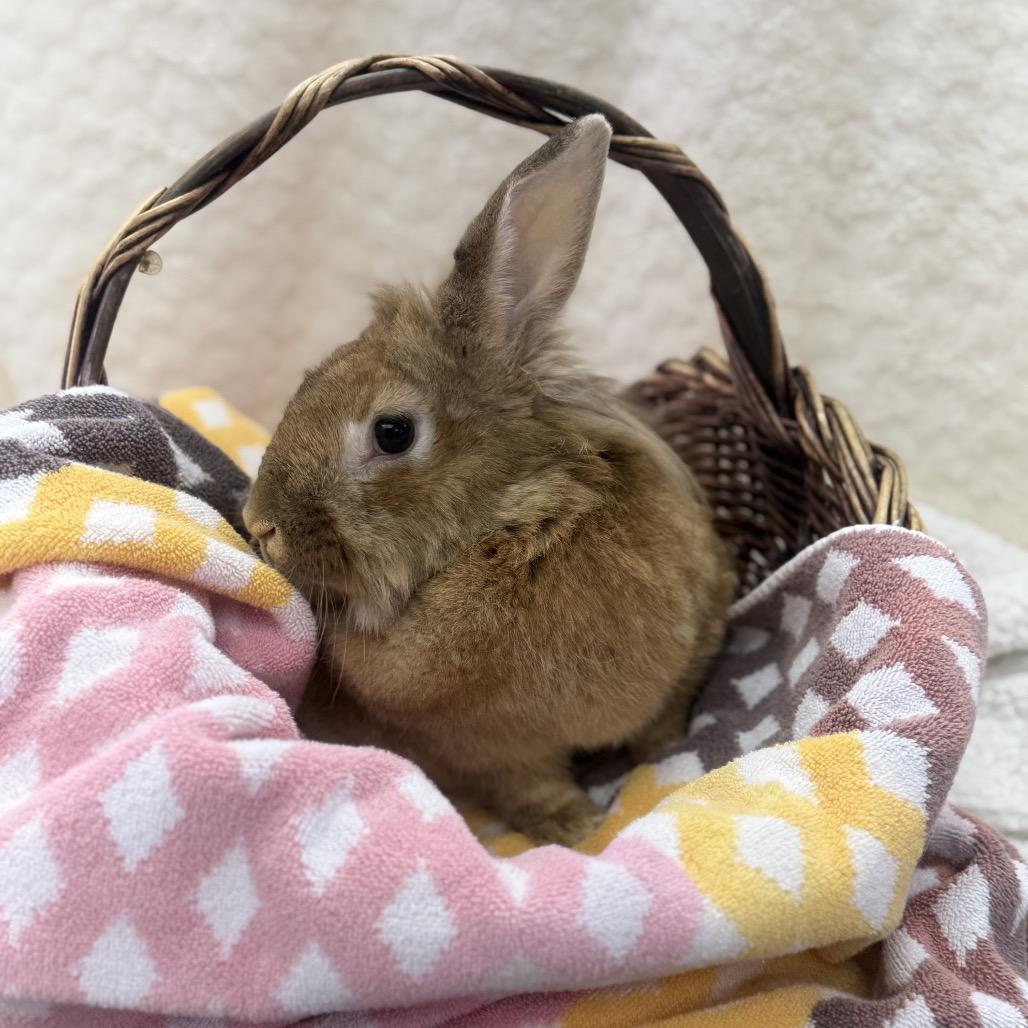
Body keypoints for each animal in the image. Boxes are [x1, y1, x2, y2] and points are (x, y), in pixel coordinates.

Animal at [242, 115, 736, 846]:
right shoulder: (484, 750)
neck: (519, 523)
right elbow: (528, 785)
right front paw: (576, 825)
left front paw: (652, 763)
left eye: (393, 432)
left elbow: (660, 719)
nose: (259, 523)